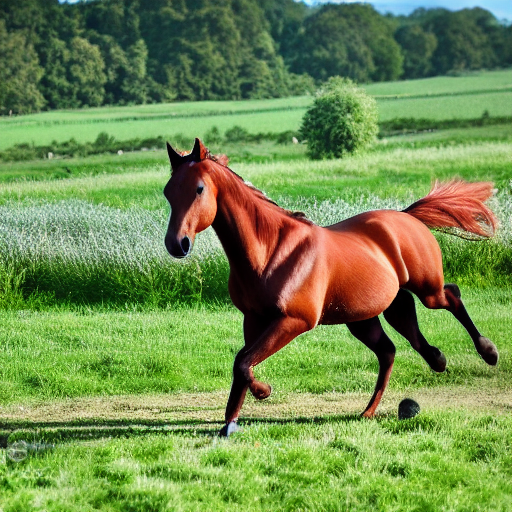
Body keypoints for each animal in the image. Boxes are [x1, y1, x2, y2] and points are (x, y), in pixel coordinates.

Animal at [165, 139, 500, 436]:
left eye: (199, 189)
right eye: (168, 191)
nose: (176, 244)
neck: (270, 251)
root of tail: (408, 216)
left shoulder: (294, 320)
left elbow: (243, 362)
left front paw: (263, 392)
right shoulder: (254, 320)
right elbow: (243, 364)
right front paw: (230, 423)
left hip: (427, 288)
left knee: (451, 297)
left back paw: (488, 353)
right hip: (367, 316)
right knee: (392, 344)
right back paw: (385, 398)